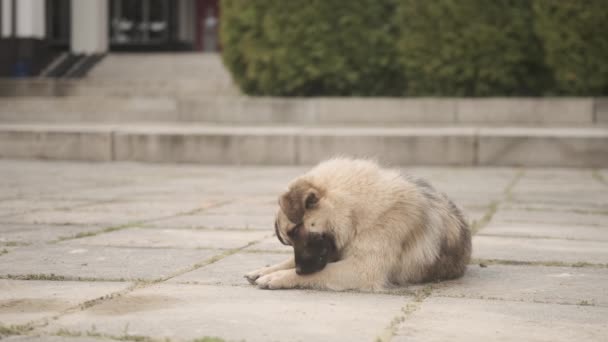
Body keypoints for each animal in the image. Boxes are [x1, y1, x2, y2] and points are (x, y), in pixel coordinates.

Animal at [243, 158, 470, 292]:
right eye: (289, 240)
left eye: (297, 230)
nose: (300, 269)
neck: (356, 212)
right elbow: (291, 261)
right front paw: (266, 270)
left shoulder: (362, 269)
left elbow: (321, 272)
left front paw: (278, 276)